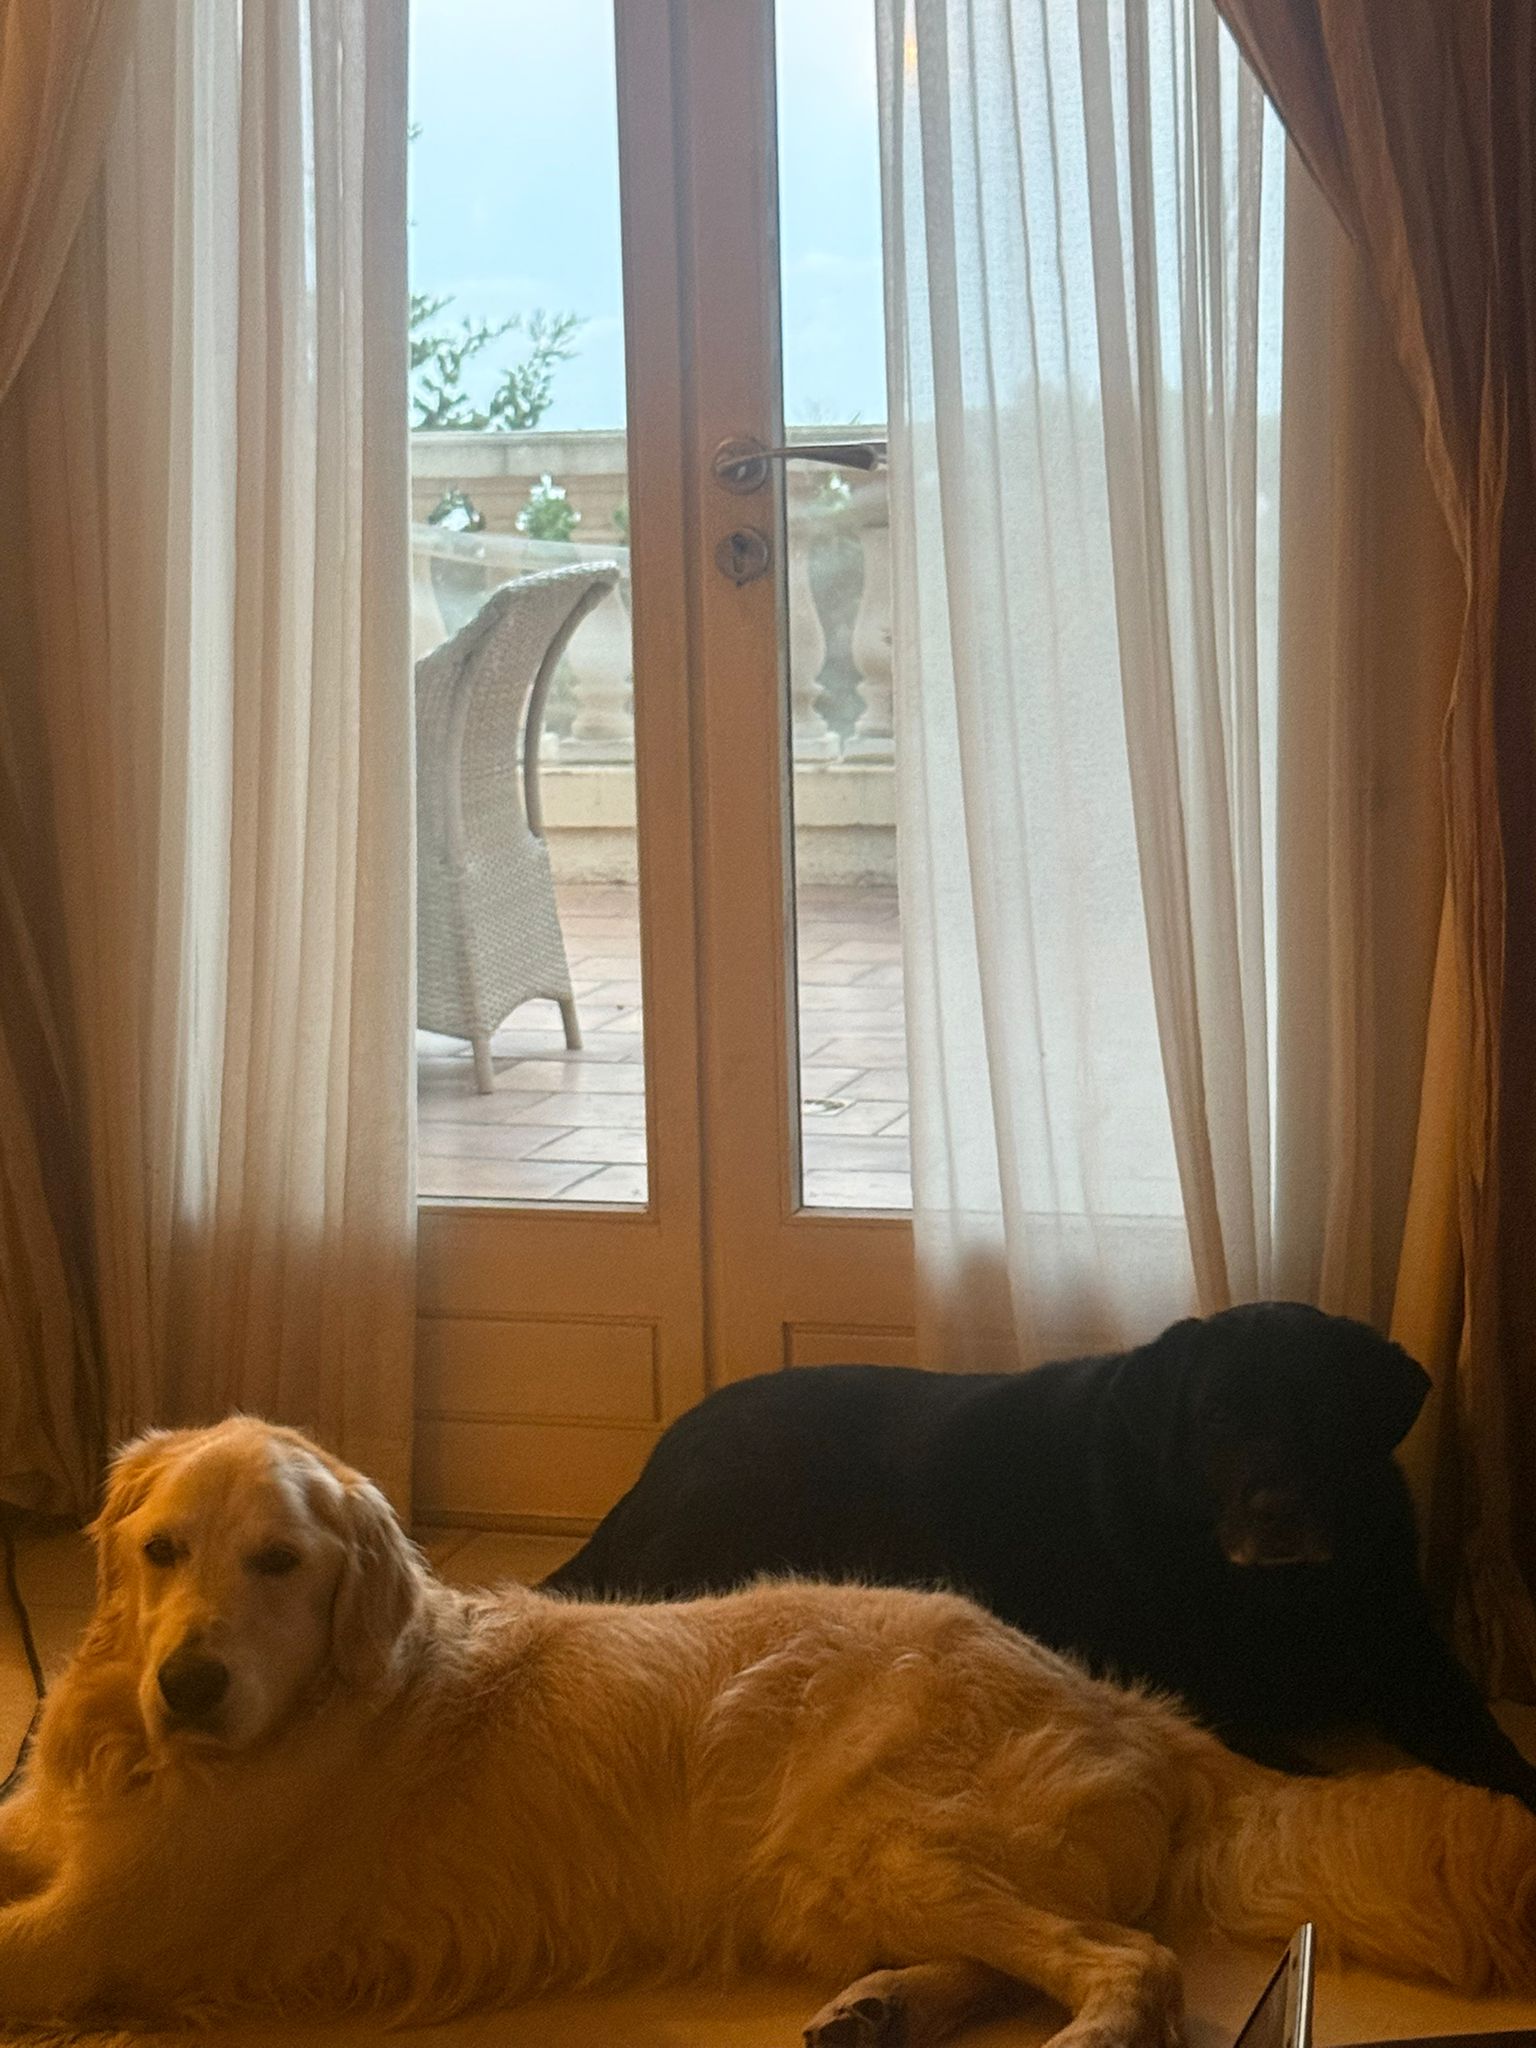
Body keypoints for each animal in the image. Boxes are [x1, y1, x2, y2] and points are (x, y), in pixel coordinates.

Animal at [1, 1420, 1535, 2042]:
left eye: (279, 1563)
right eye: (160, 1550)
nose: (188, 1686)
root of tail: (1130, 1700)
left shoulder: (104, 1924)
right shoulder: (52, 1830)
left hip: (869, 1839)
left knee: (1133, 1962)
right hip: (844, 1876)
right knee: (1046, 1949)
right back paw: (881, 2009)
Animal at [547, 1302, 1536, 1807]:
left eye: (1327, 1412)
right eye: (1218, 1415)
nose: (1280, 1512)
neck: (1279, 1598)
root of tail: (657, 1461)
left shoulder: (1414, 1662)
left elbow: (1495, 1753)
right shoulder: (1190, 1690)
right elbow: (1318, 1781)